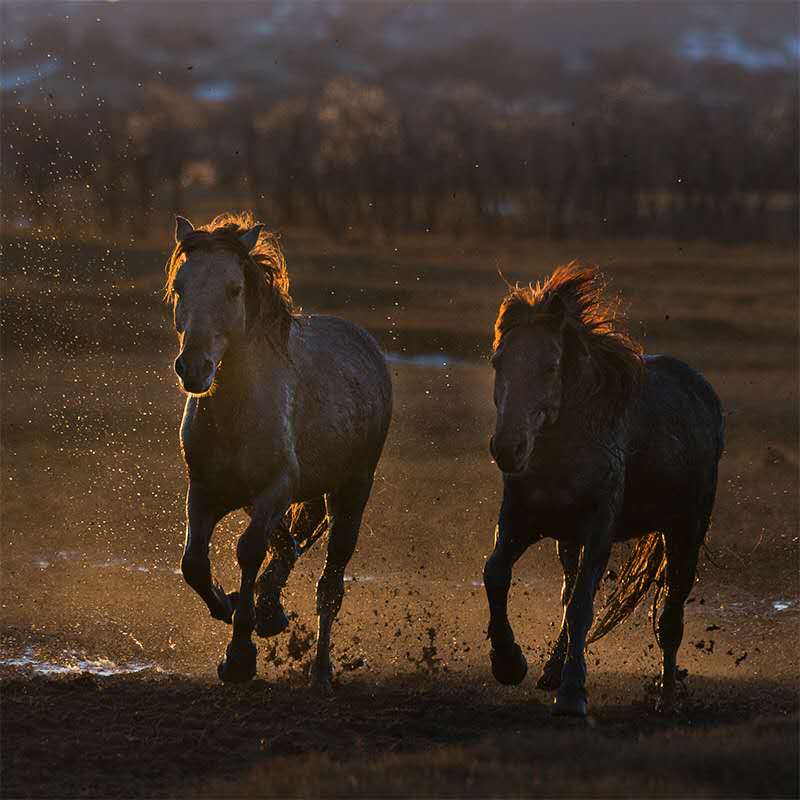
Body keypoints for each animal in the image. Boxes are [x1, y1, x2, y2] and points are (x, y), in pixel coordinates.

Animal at [166, 214, 394, 692]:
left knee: (330, 585)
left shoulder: (274, 490)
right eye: (180, 286)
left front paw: (239, 657)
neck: (235, 412)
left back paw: (320, 671)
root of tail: (367, 346)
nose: (193, 367)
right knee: (289, 546)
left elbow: (249, 551)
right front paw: (232, 606)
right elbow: (193, 563)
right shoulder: (205, 492)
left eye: (234, 289)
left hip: (352, 493)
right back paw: (270, 610)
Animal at [482, 264, 724, 720]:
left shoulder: (598, 530)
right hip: (568, 540)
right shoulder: (522, 520)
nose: (507, 448)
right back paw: (552, 669)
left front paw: (573, 695)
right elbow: (496, 574)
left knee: (671, 614)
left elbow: (582, 607)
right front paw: (509, 663)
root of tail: (703, 393)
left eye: (551, 367)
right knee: (567, 589)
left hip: (684, 531)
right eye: (498, 360)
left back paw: (666, 695)